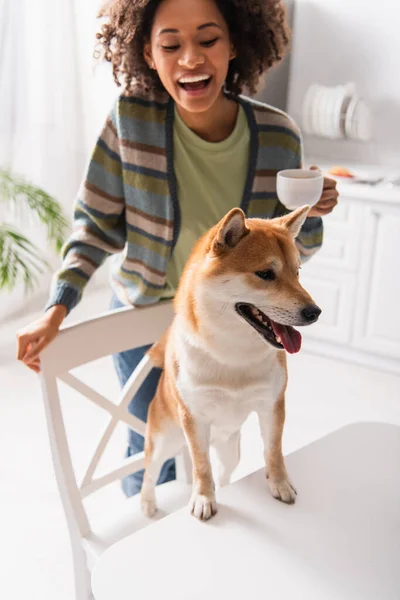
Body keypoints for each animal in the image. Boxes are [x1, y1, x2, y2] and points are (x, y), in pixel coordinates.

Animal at [141, 204, 322, 516]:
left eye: (297, 272)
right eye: (265, 274)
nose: (315, 312)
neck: (233, 354)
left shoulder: (272, 405)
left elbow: (273, 451)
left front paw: (279, 484)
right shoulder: (194, 418)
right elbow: (202, 467)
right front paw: (203, 498)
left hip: (229, 452)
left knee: (224, 473)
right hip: (164, 441)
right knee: (149, 475)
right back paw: (148, 504)